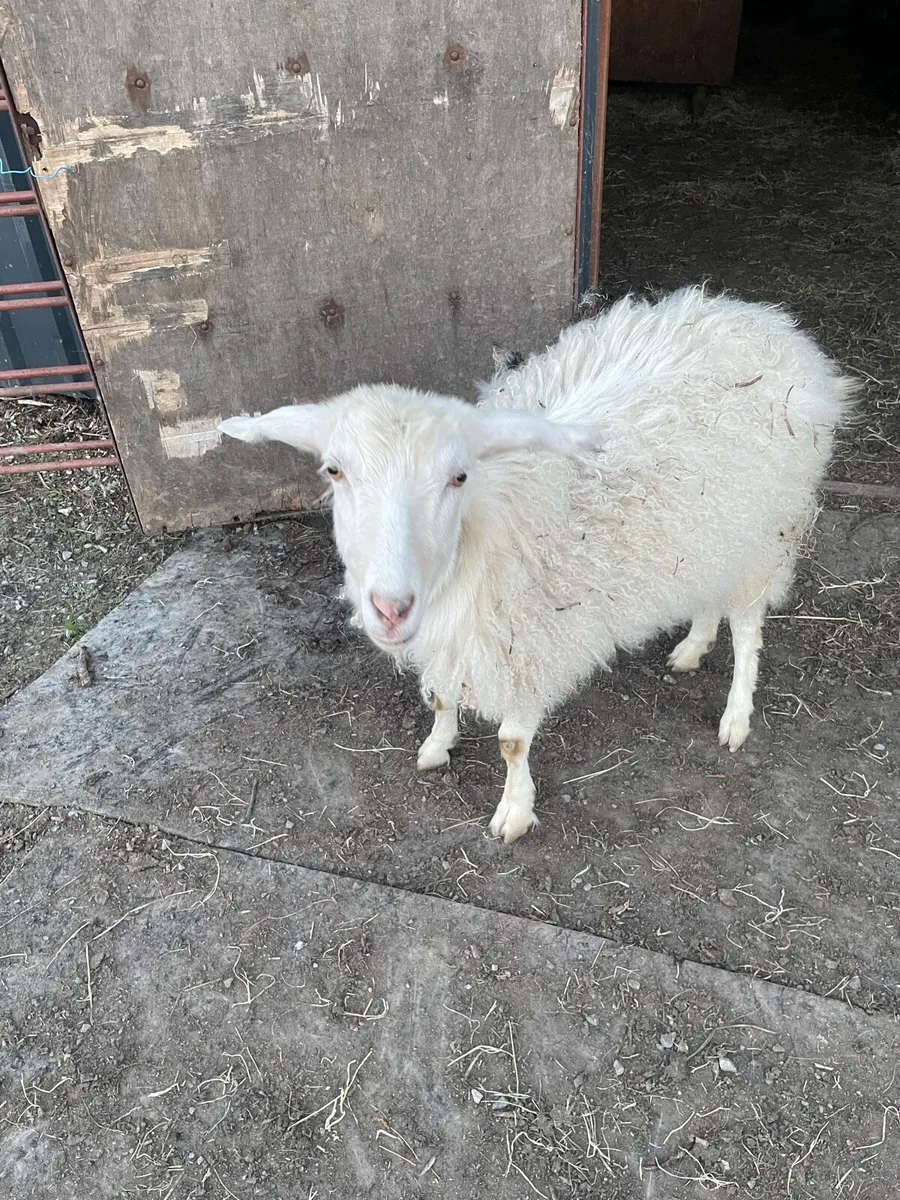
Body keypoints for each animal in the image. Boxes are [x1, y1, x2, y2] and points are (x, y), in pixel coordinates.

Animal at [219, 286, 856, 842]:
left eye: (458, 476)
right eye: (334, 470)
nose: (391, 608)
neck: (478, 538)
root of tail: (769, 323)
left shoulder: (526, 644)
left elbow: (512, 744)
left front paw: (514, 813)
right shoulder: (457, 638)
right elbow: (444, 697)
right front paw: (437, 746)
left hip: (763, 539)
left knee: (747, 631)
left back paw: (736, 718)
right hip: (710, 539)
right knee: (707, 597)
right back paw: (691, 648)